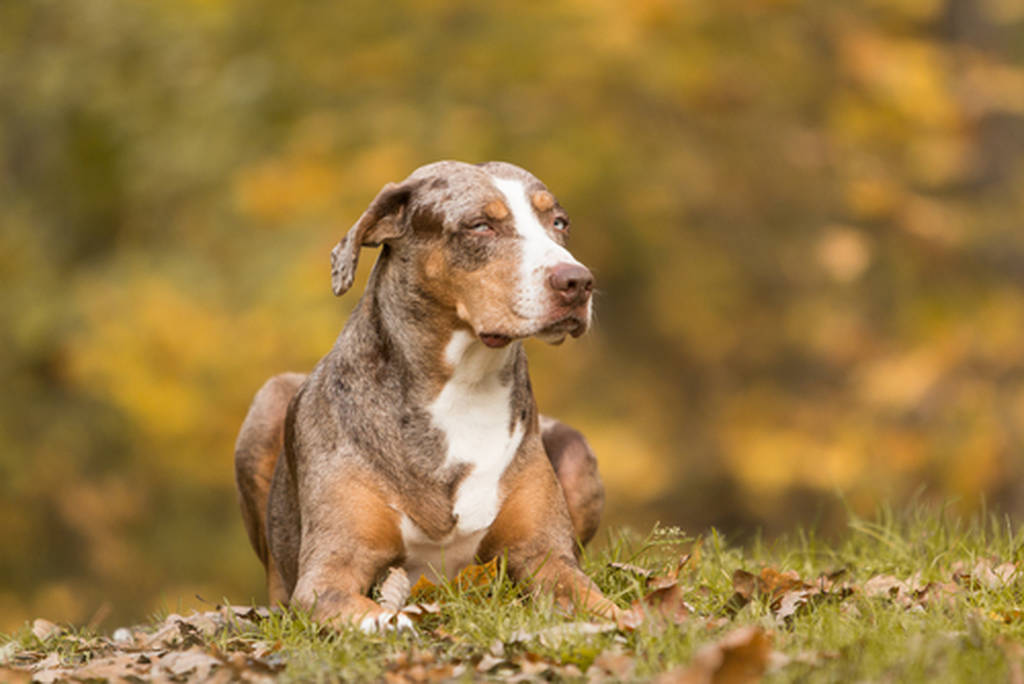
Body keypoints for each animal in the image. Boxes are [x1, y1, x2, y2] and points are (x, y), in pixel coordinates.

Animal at [233, 160, 614, 630]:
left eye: (558, 222)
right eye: (480, 225)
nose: (578, 281)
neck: (464, 390)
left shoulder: (546, 556)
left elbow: (600, 600)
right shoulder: (329, 572)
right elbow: (368, 612)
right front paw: (392, 622)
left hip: (576, 450)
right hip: (268, 404)